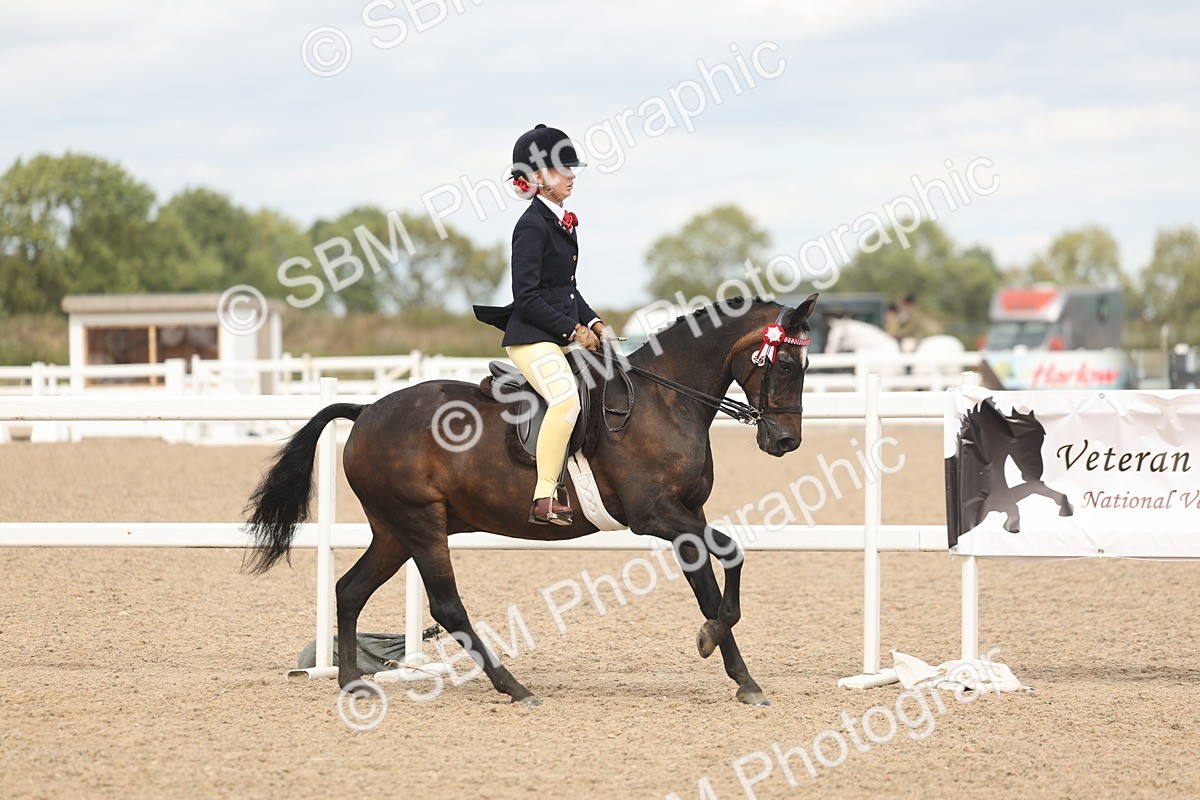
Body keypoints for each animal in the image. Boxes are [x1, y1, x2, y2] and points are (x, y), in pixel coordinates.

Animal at [244, 294, 819, 707]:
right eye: (788, 365)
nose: (786, 442)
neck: (667, 400)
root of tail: (365, 412)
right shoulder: (656, 515)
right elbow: (731, 554)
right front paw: (712, 640)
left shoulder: (686, 515)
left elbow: (708, 588)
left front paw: (740, 674)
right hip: (420, 525)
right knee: (446, 605)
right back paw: (514, 688)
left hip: (393, 531)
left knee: (349, 591)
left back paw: (350, 684)